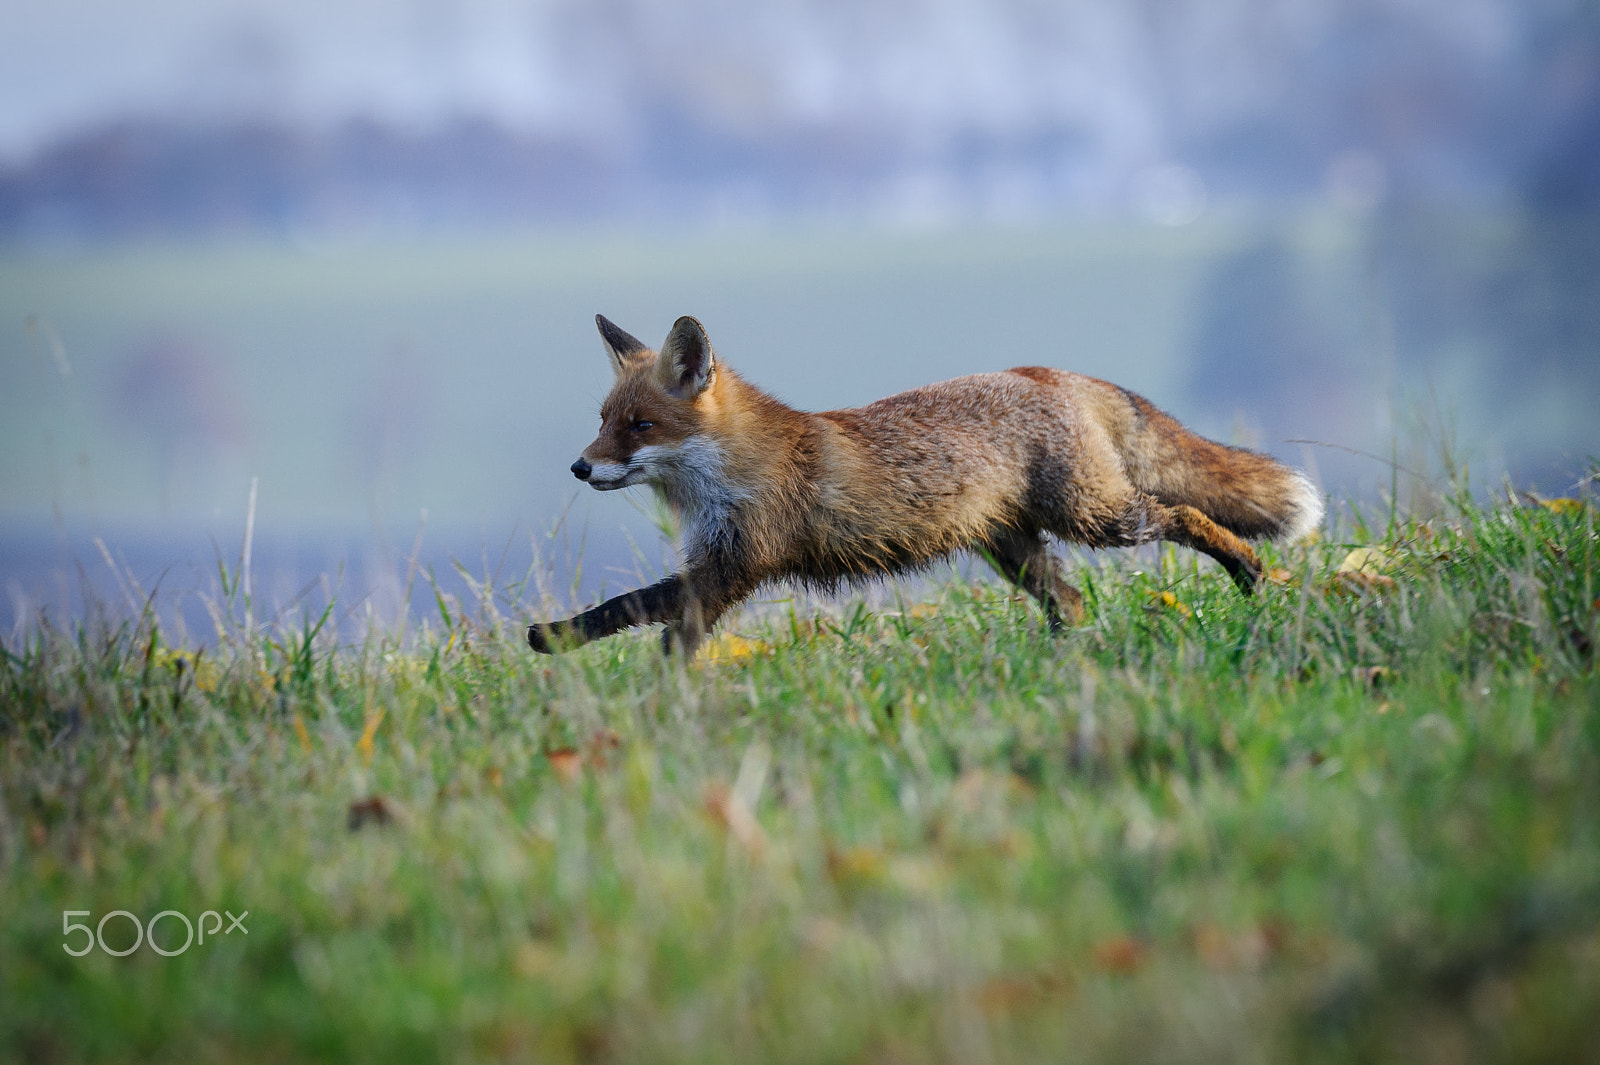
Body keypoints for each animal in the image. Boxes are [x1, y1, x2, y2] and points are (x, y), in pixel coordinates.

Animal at [527, 314, 1323, 657]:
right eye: (603, 422)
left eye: (639, 426)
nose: (579, 467)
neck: (736, 471)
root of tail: (1050, 372)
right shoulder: (719, 566)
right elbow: (649, 620)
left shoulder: (734, 565)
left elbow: (636, 611)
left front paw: (586, 657)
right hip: (1014, 549)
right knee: (1069, 600)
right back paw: (1060, 661)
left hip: (1100, 519)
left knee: (1186, 514)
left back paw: (1250, 574)